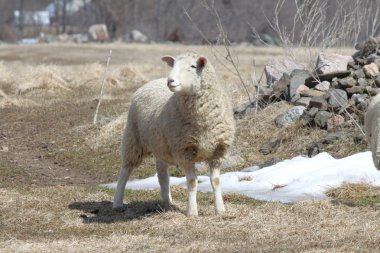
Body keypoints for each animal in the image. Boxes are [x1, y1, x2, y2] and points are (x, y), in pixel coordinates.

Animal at [113, 51, 236, 215]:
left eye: (193, 66)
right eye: (173, 65)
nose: (170, 81)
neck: (202, 121)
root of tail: (152, 81)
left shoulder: (218, 151)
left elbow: (215, 181)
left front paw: (220, 209)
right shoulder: (185, 151)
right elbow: (192, 182)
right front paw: (192, 212)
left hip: (160, 145)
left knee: (162, 174)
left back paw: (168, 202)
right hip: (133, 139)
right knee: (125, 171)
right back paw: (117, 202)